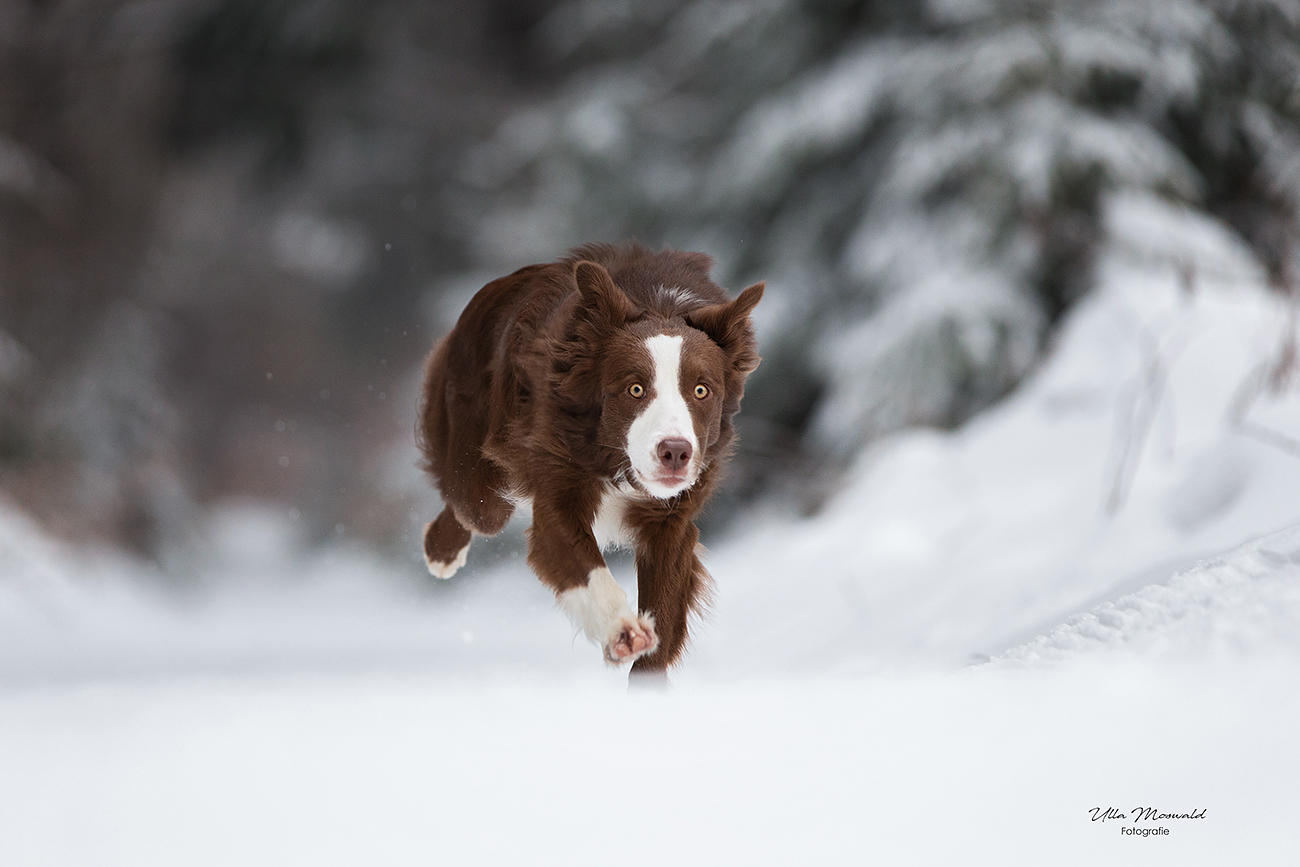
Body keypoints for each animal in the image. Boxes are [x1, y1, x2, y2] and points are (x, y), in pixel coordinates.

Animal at [416, 243, 759, 675]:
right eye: (634, 389)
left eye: (701, 390)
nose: (675, 452)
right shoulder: (557, 479)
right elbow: (583, 563)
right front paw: (624, 633)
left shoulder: (673, 517)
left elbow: (664, 608)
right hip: (477, 456)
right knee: (473, 508)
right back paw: (440, 551)